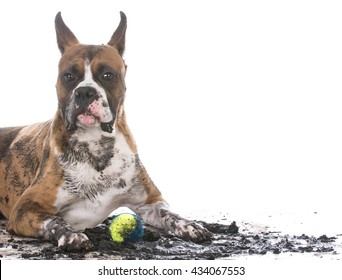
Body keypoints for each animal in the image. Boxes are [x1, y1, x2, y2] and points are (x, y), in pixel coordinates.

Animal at [0, 12, 211, 250]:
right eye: (68, 76)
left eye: (108, 75)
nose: (84, 92)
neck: (95, 144)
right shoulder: (25, 208)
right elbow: (53, 220)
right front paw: (70, 234)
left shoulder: (151, 201)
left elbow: (170, 214)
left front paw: (190, 225)